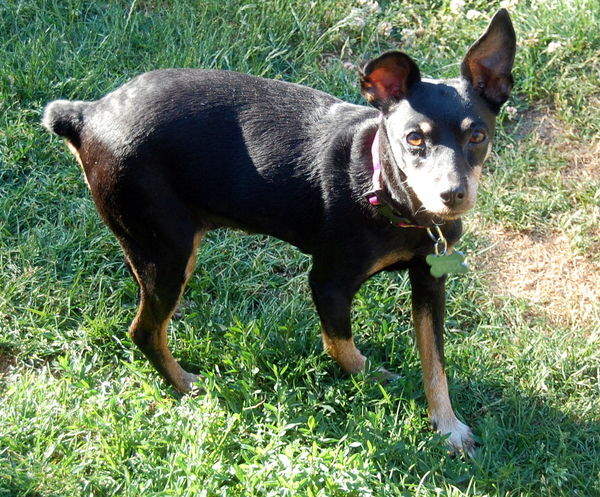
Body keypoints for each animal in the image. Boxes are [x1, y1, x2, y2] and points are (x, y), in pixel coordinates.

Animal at [43, 10, 516, 454]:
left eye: (478, 135)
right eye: (413, 139)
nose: (452, 195)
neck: (386, 190)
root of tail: (87, 114)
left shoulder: (430, 279)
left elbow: (435, 363)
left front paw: (448, 426)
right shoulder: (328, 281)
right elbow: (341, 346)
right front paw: (377, 380)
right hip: (166, 249)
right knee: (143, 331)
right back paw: (188, 386)